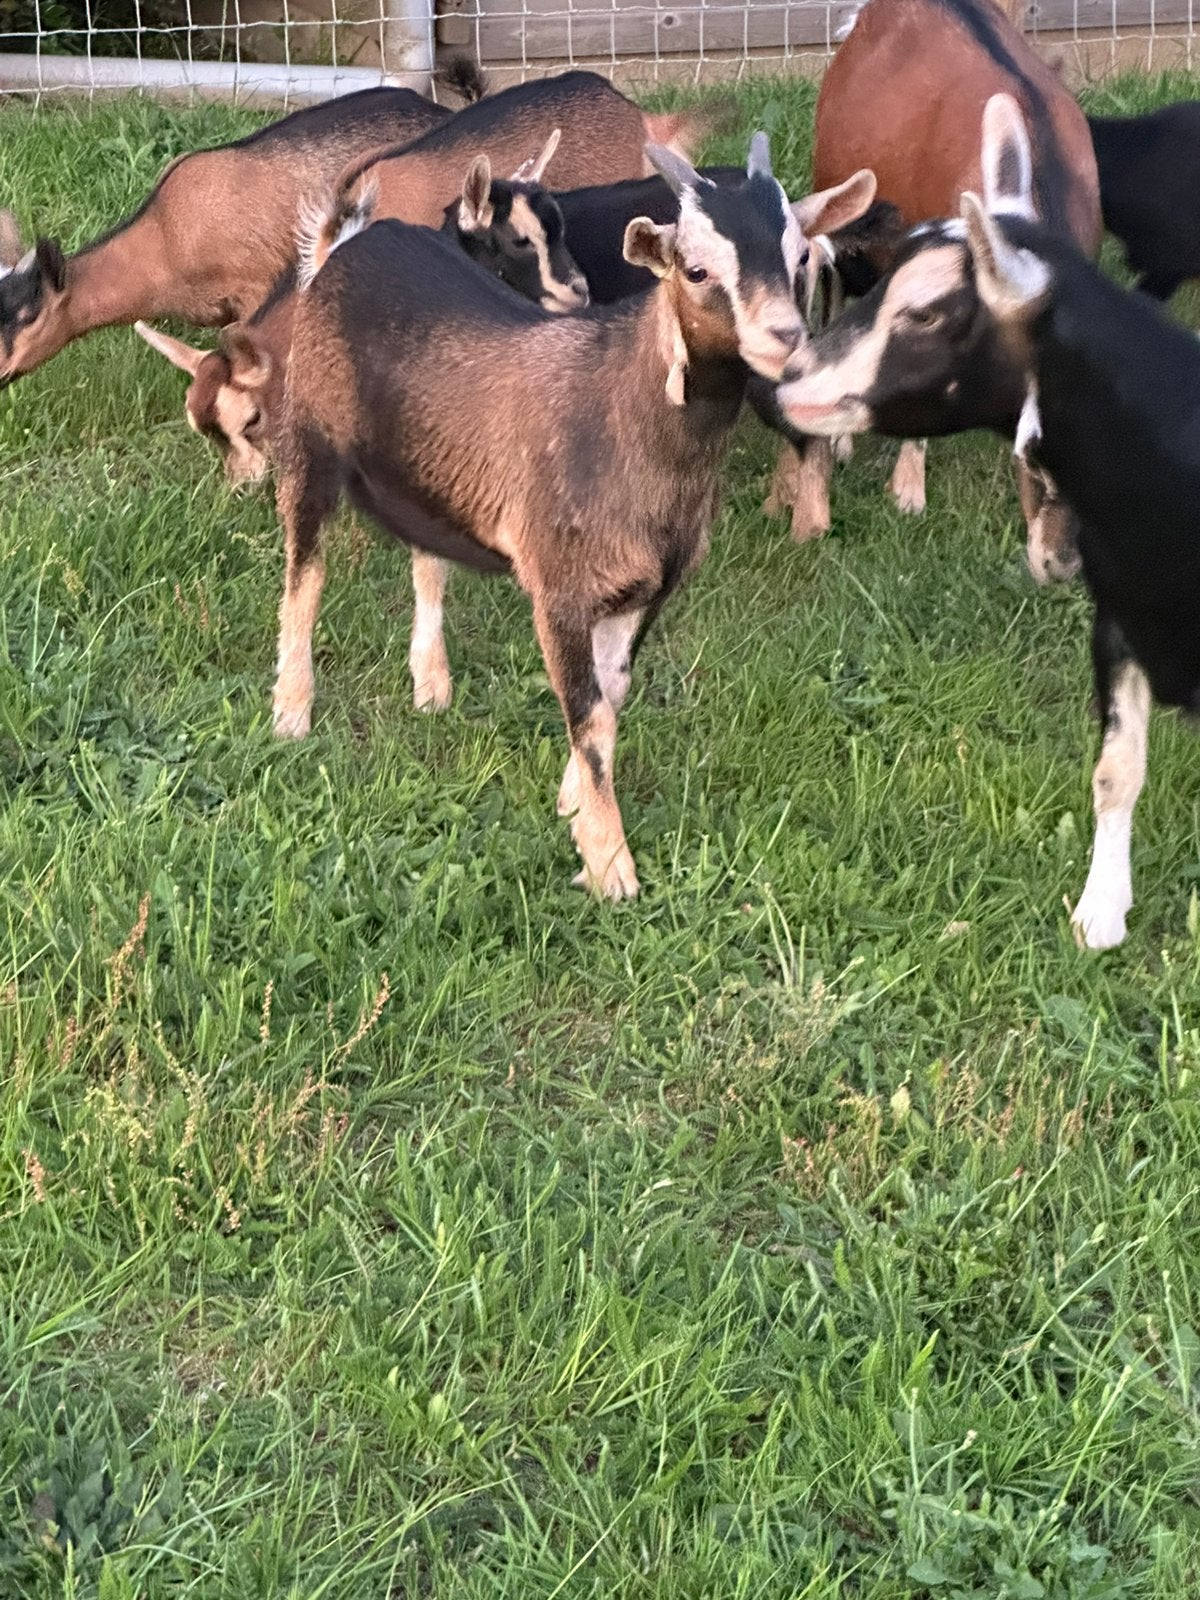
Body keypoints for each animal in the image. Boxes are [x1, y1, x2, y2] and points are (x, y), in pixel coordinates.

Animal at [267, 140, 874, 898]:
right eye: (696, 268)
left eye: (798, 258)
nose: (785, 337)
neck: (624, 412)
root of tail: (344, 245)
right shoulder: (559, 590)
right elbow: (586, 713)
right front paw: (611, 865)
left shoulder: (648, 591)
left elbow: (609, 702)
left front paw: (575, 808)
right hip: (309, 440)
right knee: (304, 570)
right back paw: (291, 711)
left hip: (425, 467)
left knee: (427, 557)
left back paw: (431, 685)